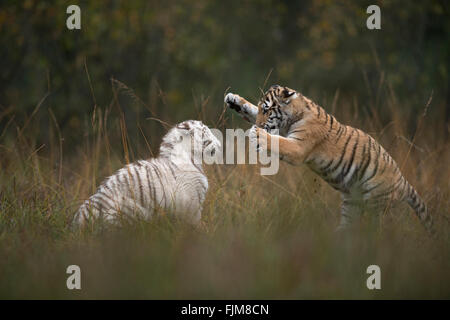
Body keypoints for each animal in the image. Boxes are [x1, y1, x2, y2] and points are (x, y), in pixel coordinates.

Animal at [227, 85, 434, 232]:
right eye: (262, 109)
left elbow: (278, 142)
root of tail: (402, 180)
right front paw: (234, 100)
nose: (260, 124)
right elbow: (251, 112)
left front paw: (257, 133)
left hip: (376, 206)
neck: (294, 114)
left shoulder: (298, 147)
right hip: (352, 207)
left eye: (268, 110)